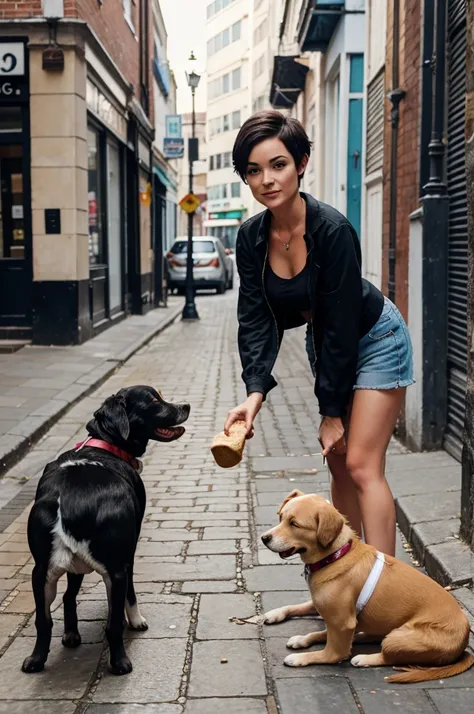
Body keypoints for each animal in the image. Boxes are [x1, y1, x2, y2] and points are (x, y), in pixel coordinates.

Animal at [21, 384, 189, 672]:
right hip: (111, 569)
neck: (105, 445)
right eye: (155, 400)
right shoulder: (127, 558)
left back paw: (42, 655)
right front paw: (136, 620)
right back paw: (120, 661)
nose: (186, 406)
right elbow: (127, 600)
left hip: (45, 572)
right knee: (110, 623)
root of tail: (70, 502)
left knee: (49, 616)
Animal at [262, 486, 472, 680]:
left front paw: (301, 658)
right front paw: (277, 614)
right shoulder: (325, 607)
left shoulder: (342, 623)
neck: (335, 555)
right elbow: (298, 607)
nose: (264, 538)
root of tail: (465, 642)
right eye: (280, 517)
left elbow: (331, 653)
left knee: (386, 657)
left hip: (396, 637)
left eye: (294, 524)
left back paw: (363, 658)